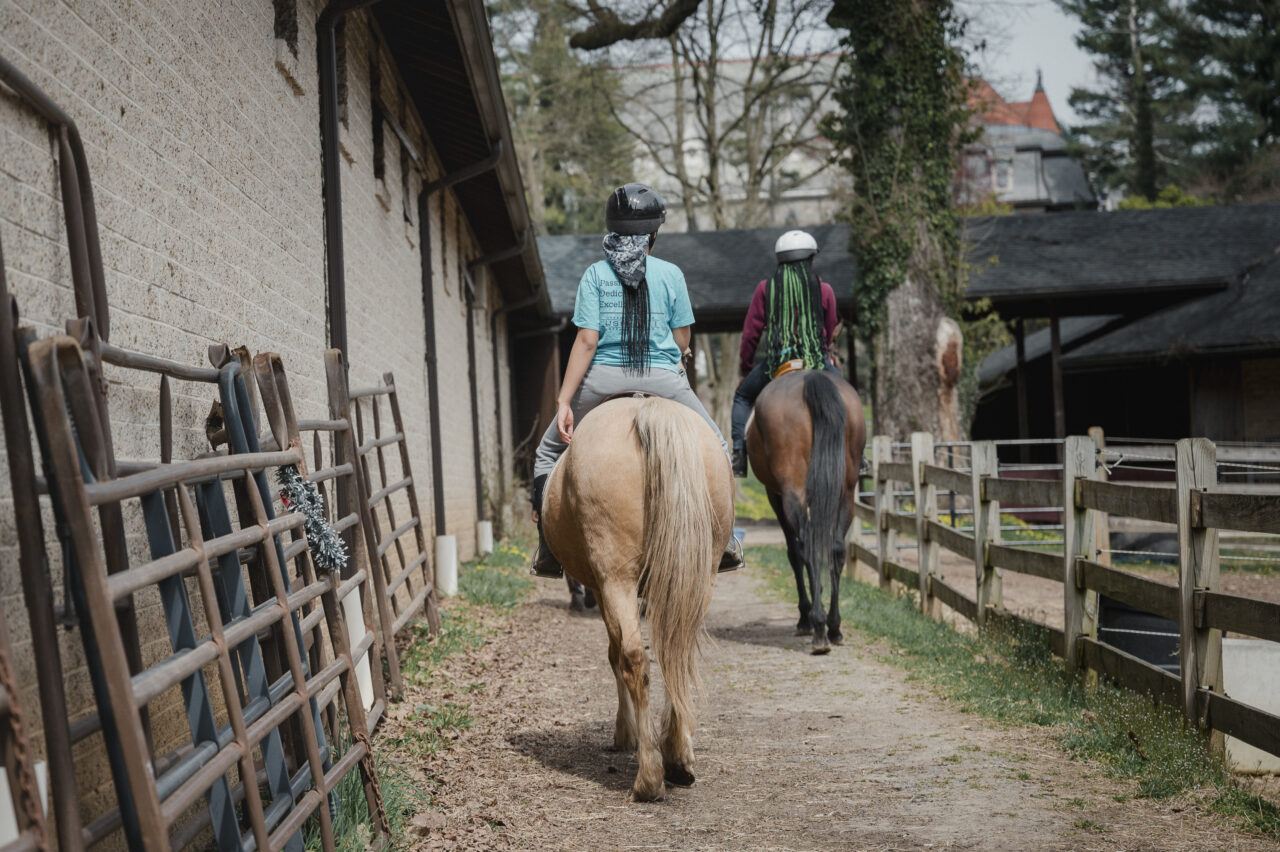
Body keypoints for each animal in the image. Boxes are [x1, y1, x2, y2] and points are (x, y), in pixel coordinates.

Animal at [545, 394, 737, 798]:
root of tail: (646, 408)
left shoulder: (602, 586)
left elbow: (615, 654)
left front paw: (625, 732)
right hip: (700, 575)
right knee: (678, 652)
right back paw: (678, 759)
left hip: (615, 577)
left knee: (636, 658)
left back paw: (649, 773)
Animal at [747, 368, 865, 652]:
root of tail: (811, 377)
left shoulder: (775, 495)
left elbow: (794, 553)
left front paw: (805, 614)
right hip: (846, 492)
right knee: (836, 549)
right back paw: (833, 626)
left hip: (791, 492)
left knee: (806, 548)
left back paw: (818, 626)